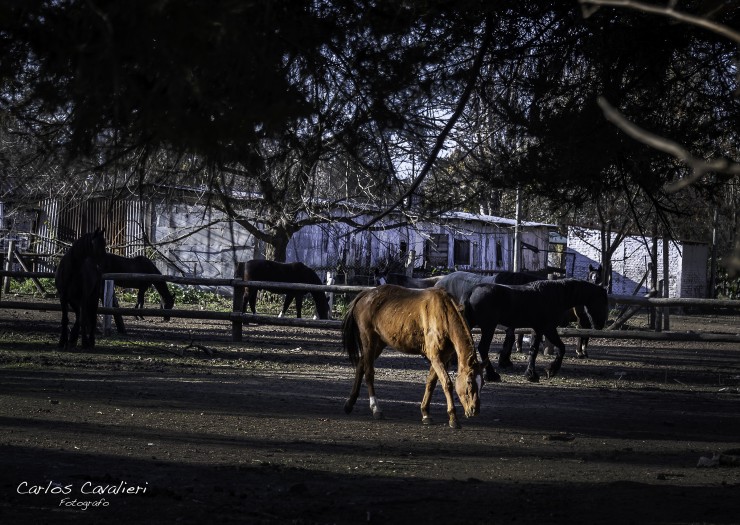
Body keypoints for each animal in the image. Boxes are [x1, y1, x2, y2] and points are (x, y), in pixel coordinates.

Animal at [342, 284, 482, 428]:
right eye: (469, 381)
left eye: (482, 383)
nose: (475, 410)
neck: (444, 314)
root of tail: (365, 294)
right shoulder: (436, 357)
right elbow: (446, 383)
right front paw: (453, 418)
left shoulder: (442, 358)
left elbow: (431, 382)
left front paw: (425, 413)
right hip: (369, 340)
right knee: (369, 373)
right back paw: (376, 409)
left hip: (379, 344)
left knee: (361, 364)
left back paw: (349, 404)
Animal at [462, 278, 608, 380]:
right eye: (602, 301)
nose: (600, 325)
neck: (556, 295)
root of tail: (472, 291)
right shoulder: (548, 328)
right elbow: (561, 348)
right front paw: (550, 370)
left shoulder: (538, 329)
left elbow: (534, 350)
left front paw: (531, 374)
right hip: (488, 327)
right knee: (483, 348)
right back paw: (492, 375)